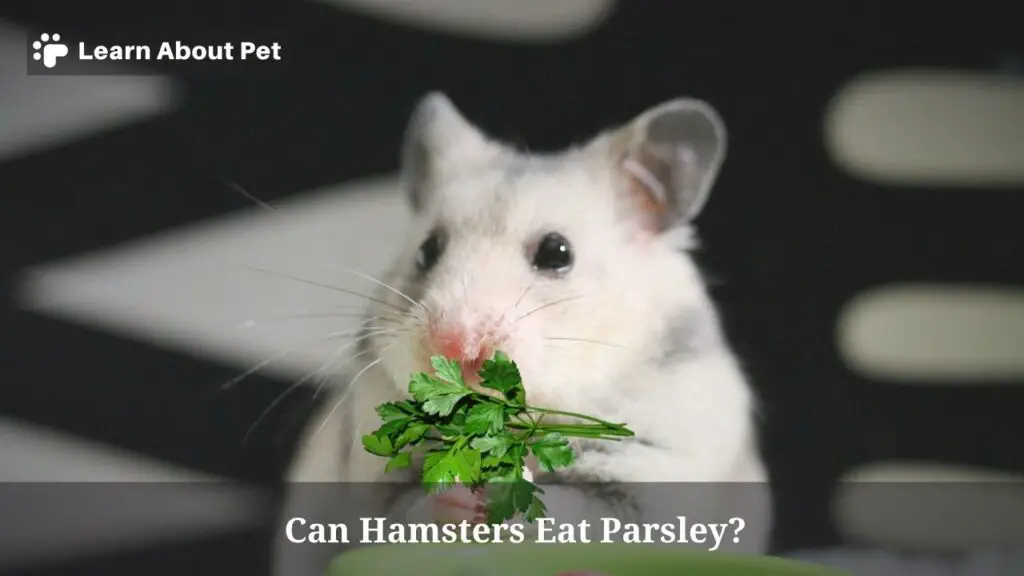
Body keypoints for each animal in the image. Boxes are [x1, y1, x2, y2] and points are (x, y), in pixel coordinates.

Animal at [273, 93, 772, 576]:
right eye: (427, 250)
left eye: (557, 252)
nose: (453, 347)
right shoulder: (371, 476)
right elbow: (406, 508)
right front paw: (457, 497)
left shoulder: (657, 466)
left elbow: (583, 510)